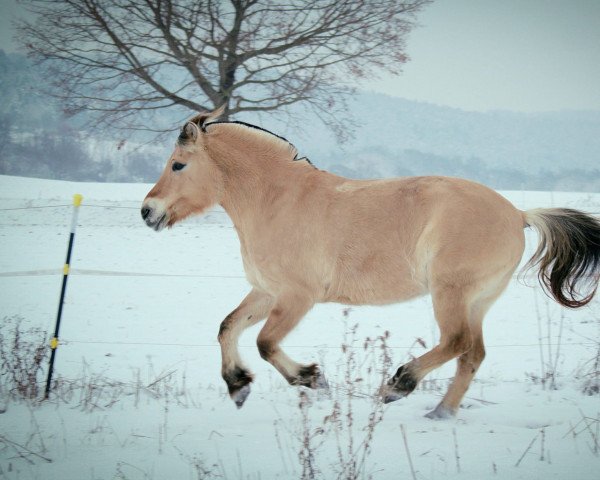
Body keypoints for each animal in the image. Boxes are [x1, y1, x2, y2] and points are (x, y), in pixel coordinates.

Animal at [142, 108, 600, 416]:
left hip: (451, 292)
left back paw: (399, 385)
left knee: (456, 342)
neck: (276, 201)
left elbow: (266, 343)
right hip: (478, 301)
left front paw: (312, 378)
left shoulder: (296, 297)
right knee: (472, 354)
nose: (148, 212)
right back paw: (439, 413)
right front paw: (238, 386)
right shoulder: (265, 291)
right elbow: (227, 328)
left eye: (178, 164)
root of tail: (518, 214)